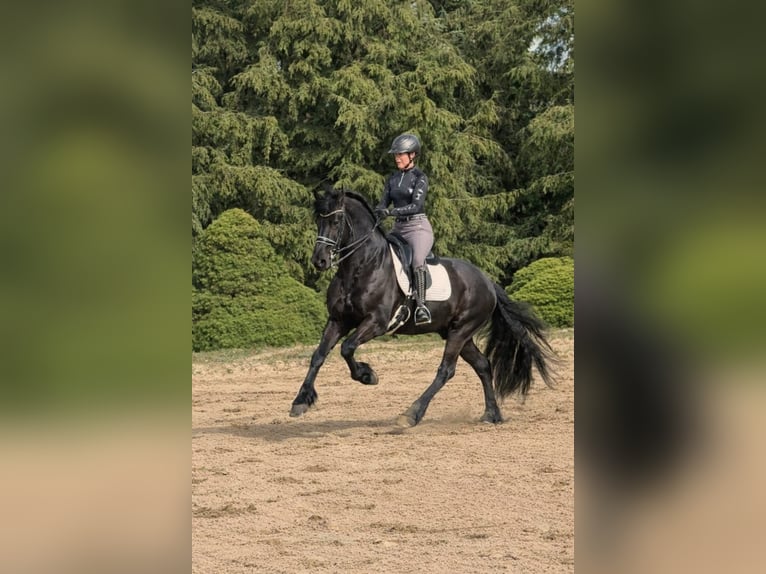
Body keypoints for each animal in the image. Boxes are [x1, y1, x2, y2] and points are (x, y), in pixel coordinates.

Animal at [290, 187, 556, 426]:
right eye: (318, 220)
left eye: (336, 221)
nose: (319, 260)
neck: (361, 267)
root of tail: (488, 281)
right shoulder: (338, 320)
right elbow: (318, 355)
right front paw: (300, 401)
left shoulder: (376, 322)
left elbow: (346, 348)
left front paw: (367, 375)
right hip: (458, 333)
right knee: (482, 365)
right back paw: (492, 414)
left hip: (461, 331)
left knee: (446, 370)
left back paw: (411, 414)